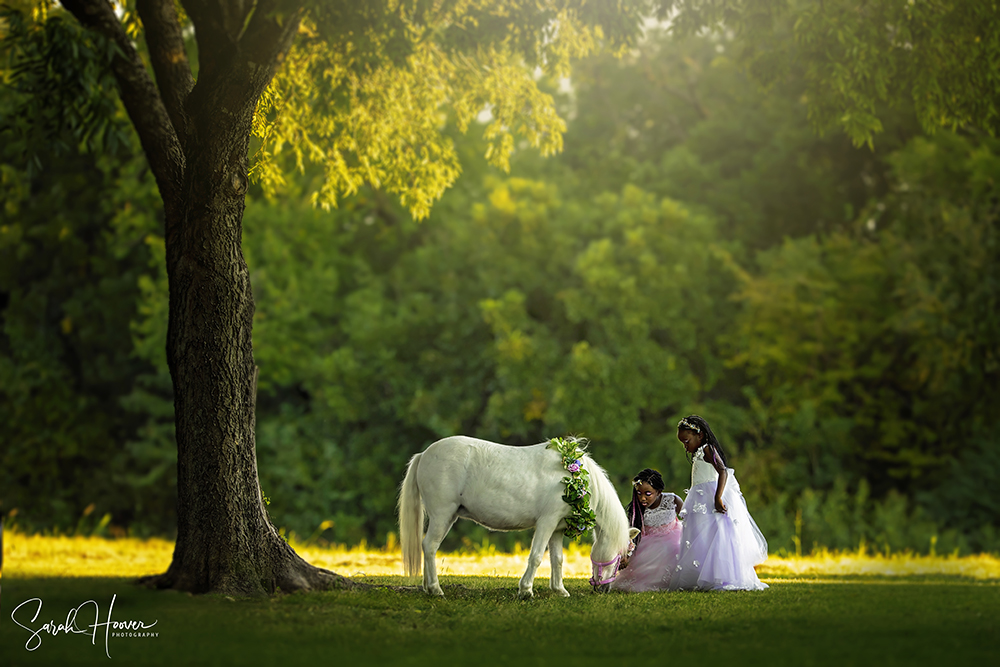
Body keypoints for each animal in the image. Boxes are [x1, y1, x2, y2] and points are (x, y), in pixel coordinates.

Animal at [396, 436, 624, 596]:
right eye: (621, 557)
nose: (604, 589)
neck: (571, 477)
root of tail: (424, 454)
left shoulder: (556, 528)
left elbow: (557, 559)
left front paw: (560, 590)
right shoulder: (546, 523)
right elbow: (536, 557)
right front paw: (526, 590)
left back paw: (428, 588)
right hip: (442, 515)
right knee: (429, 546)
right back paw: (435, 589)